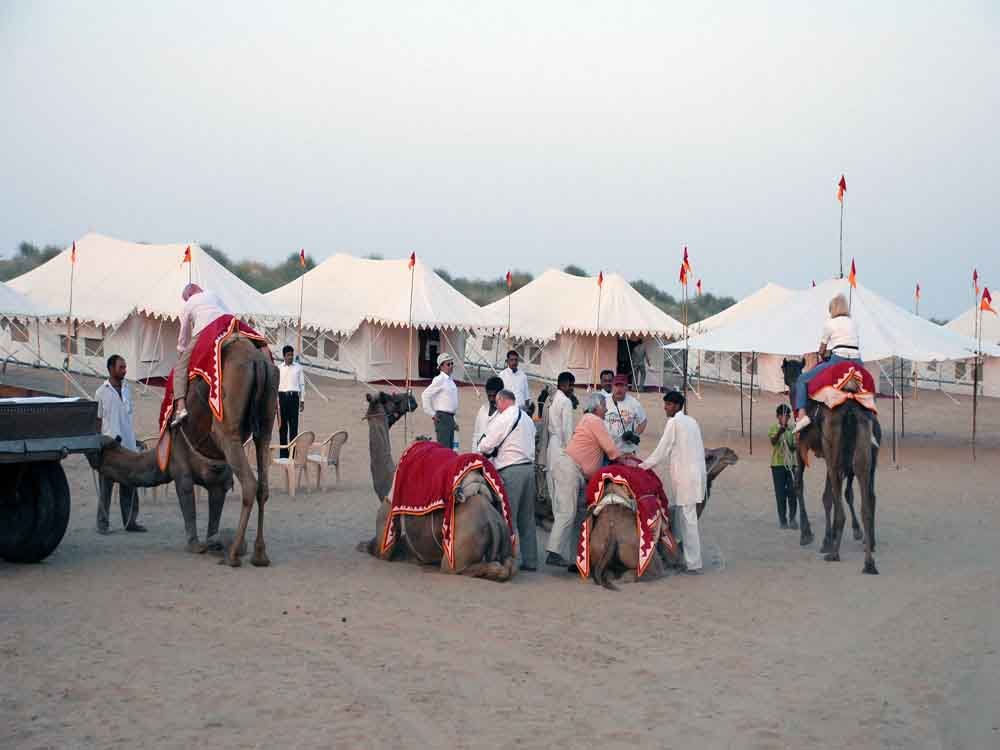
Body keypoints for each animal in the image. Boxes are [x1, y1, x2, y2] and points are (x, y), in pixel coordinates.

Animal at [90, 338, 278, 568]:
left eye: (99, 450)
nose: (88, 452)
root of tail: (257, 361)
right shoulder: (218, 477)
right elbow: (215, 509)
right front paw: (213, 541)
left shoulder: (180, 466)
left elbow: (188, 502)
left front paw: (195, 545)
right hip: (268, 412)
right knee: (263, 481)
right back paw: (260, 555)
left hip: (228, 424)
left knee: (250, 482)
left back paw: (233, 555)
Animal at [584, 450, 744, 592]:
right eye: (709, 457)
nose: (731, 453)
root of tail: (612, 530)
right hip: (644, 555)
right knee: (639, 574)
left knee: (609, 574)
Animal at [776, 358, 880, 576]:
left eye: (784, 369)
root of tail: (849, 403)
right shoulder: (828, 455)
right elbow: (829, 495)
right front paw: (827, 539)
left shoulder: (802, 446)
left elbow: (800, 486)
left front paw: (808, 535)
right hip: (861, 450)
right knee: (866, 499)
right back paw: (869, 561)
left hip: (833, 446)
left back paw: (834, 554)